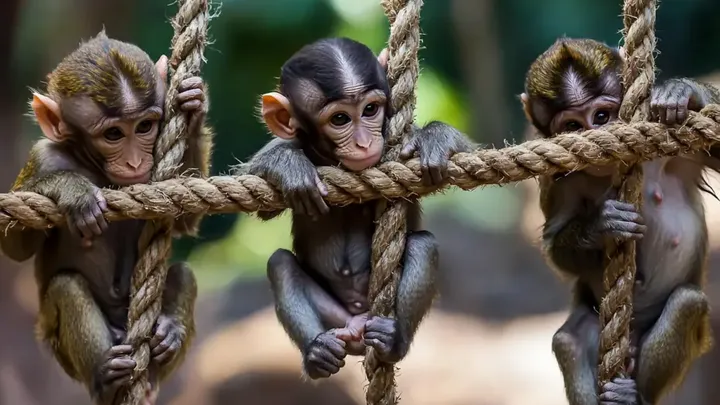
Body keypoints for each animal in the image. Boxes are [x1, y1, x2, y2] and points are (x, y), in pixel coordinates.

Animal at [0, 31, 212, 404]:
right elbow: (14, 247)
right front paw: (72, 189)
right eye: (113, 135)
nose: (135, 162)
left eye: (145, 126)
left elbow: (185, 220)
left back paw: (169, 332)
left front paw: (194, 107)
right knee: (66, 286)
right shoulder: (43, 157)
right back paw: (106, 376)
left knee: (184, 273)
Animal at [234, 37, 474, 379]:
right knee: (280, 265)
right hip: (336, 319)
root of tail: (358, 325)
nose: (363, 142)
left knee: (423, 245)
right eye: (340, 119)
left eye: (370, 109)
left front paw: (435, 137)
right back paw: (317, 353)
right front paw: (287, 164)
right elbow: (262, 199)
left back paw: (393, 341)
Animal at [522, 38, 719, 405]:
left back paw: (635, 396)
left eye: (601, 116)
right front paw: (601, 224)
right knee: (569, 339)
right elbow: (554, 242)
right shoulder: (556, 181)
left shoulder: (678, 151)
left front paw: (683, 92)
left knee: (687, 303)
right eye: (573, 126)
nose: (593, 136)